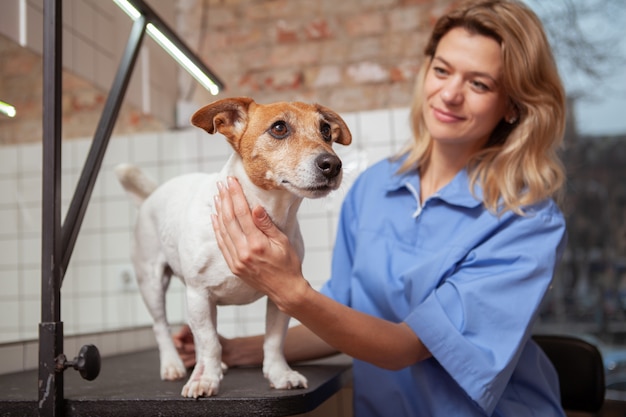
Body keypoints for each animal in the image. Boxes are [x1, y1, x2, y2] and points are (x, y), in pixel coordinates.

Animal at [114, 95, 348, 396]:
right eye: (279, 128)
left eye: (326, 131)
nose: (333, 164)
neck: (266, 212)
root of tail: (151, 195)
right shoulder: (198, 294)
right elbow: (209, 342)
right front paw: (205, 379)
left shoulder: (281, 294)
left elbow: (273, 341)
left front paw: (279, 374)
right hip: (152, 283)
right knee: (161, 327)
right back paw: (172, 365)